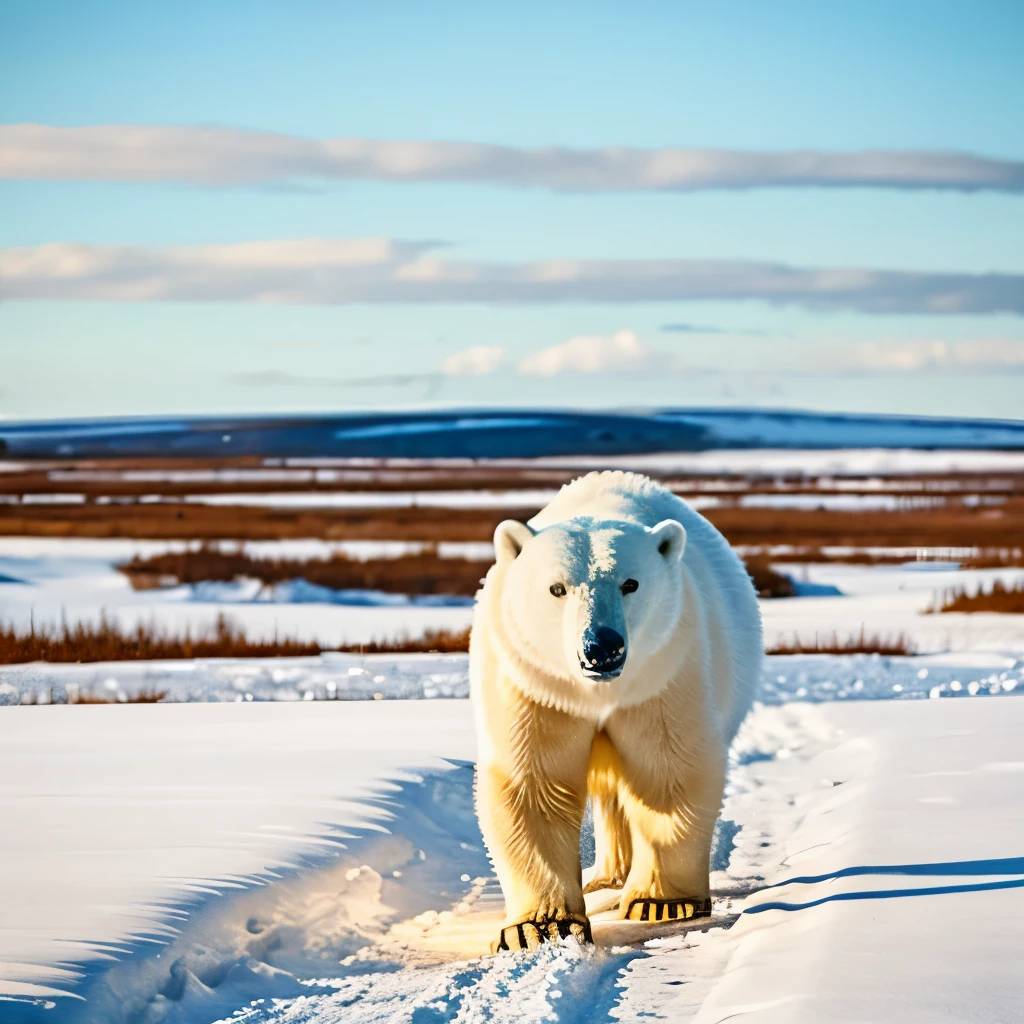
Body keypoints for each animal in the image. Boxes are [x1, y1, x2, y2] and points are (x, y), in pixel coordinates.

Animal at [468, 471, 761, 950]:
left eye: (631, 583)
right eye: (557, 587)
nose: (601, 646)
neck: (599, 691)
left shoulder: (663, 673)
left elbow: (667, 771)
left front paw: (662, 903)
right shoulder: (537, 683)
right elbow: (535, 781)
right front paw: (538, 926)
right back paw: (606, 877)